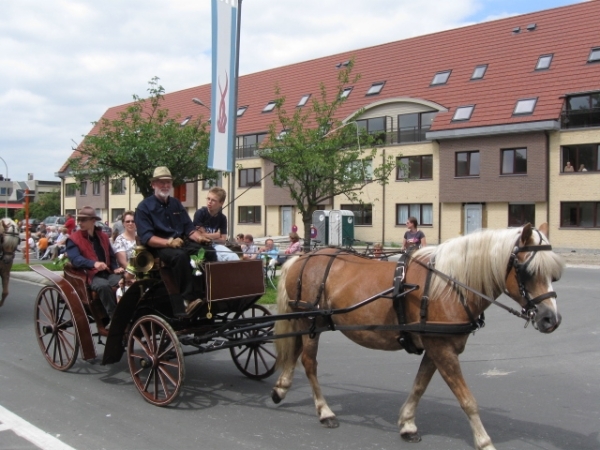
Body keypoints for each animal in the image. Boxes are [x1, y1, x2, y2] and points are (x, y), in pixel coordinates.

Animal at [272, 224, 564, 450]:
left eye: (554, 275)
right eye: (527, 271)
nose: (551, 319)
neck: (450, 285)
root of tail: (302, 258)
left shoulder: (437, 347)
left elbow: (419, 386)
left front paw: (408, 424)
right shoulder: (442, 349)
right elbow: (467, 399)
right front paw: (484, 441)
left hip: (306, 322)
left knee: (294, 352)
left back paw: (281, 388)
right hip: (311, 321)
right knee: (309, 363)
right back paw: (324, 411)